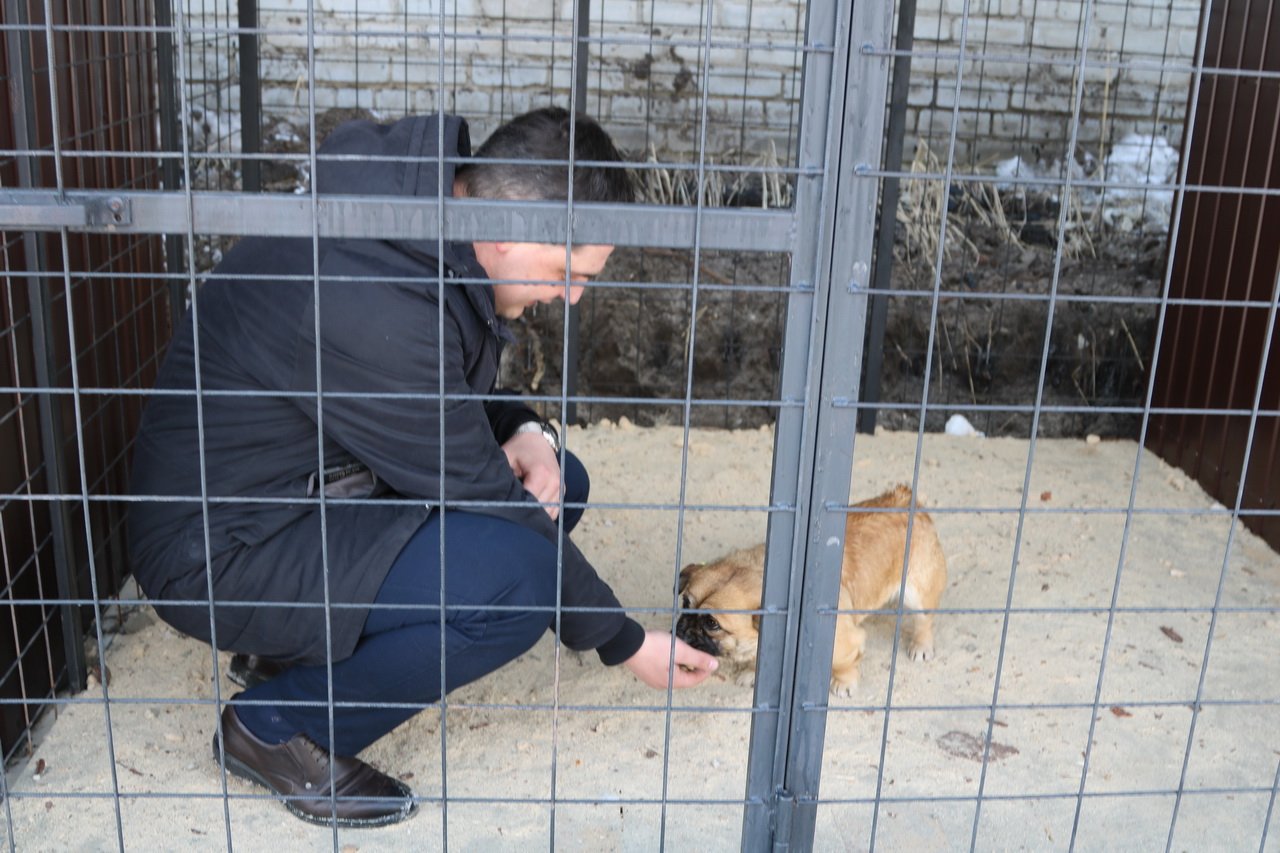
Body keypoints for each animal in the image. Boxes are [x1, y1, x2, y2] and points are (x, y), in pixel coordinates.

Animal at [675, 481, 947, 696]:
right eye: (685, 603)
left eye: (712, 624)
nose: (683, 628)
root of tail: (907, 498)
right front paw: (752, 671)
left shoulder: (844, 642)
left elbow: (844, 662)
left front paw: (844, 682)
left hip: (917, 593)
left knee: (925, 620)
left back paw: (921, 646)